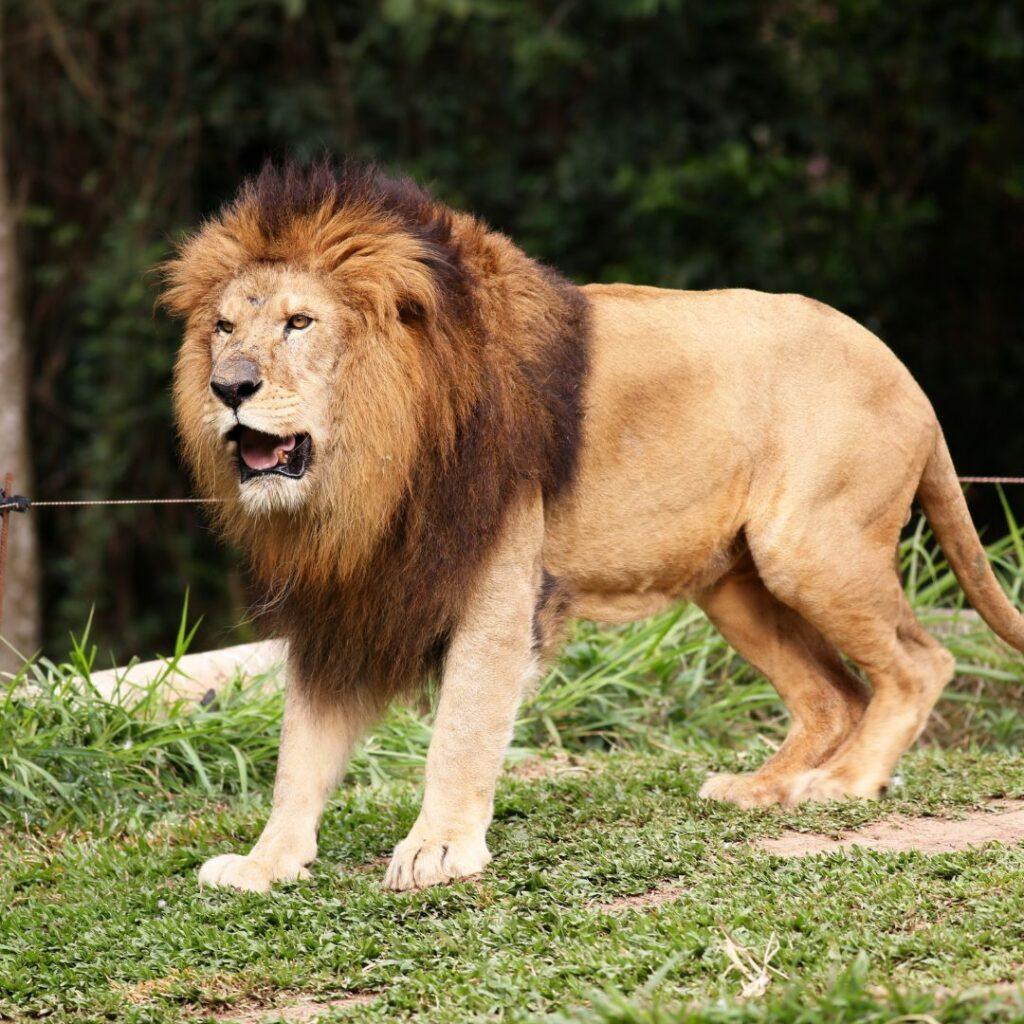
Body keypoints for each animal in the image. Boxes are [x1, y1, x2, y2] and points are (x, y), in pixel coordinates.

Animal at [162, 160, 1024, 893]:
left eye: (300, 323)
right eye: (224, 328)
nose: (228, 387)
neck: (370, 469)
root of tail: (906, 376)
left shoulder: (497, 584)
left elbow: (463, 726)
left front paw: (438, 847)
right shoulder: (348, 598)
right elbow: (301, 750)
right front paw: (265, 862)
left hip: (810, 548)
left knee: (920, 663)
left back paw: (840, 784)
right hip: (737, 584)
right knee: (834, 695)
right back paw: (760, 788)